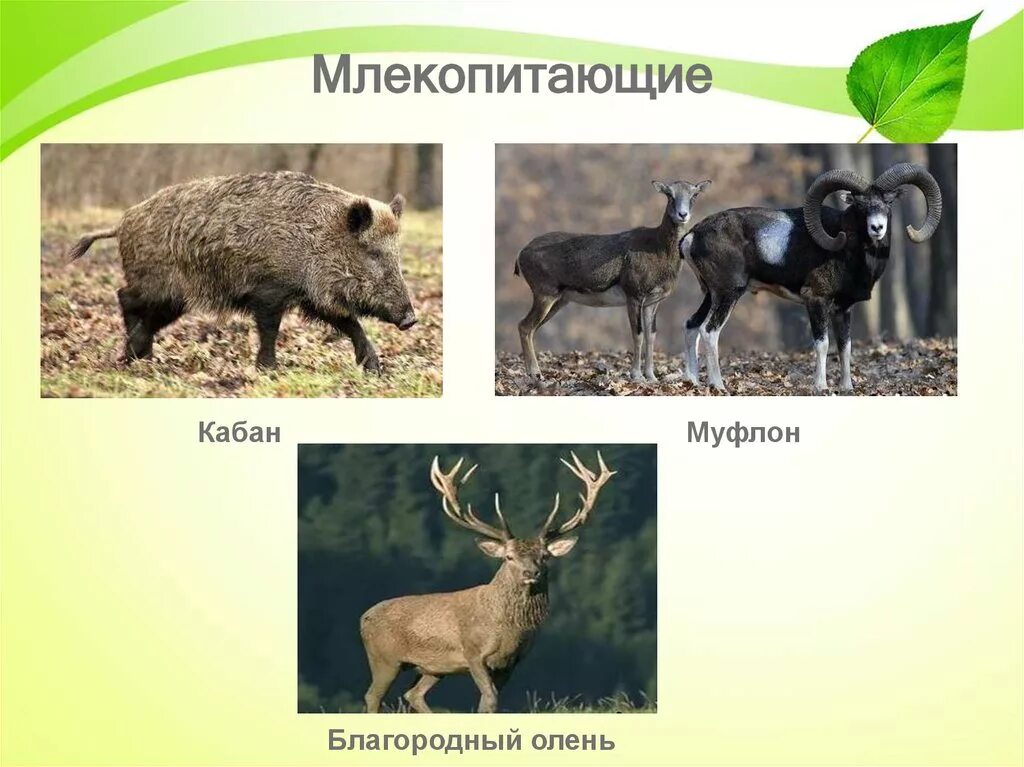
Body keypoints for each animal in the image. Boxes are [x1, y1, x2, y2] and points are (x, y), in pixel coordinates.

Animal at [359, 452, 615, 713]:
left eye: (544, 556)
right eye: (508, 557)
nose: (531, 572)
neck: (509, 630)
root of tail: (363, 617)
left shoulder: (510, 663)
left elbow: (488, 701)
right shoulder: (473, 654)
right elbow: (490, 697)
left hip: (432, 667)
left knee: (413, 694)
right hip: (384, 659)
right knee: (373, 696)